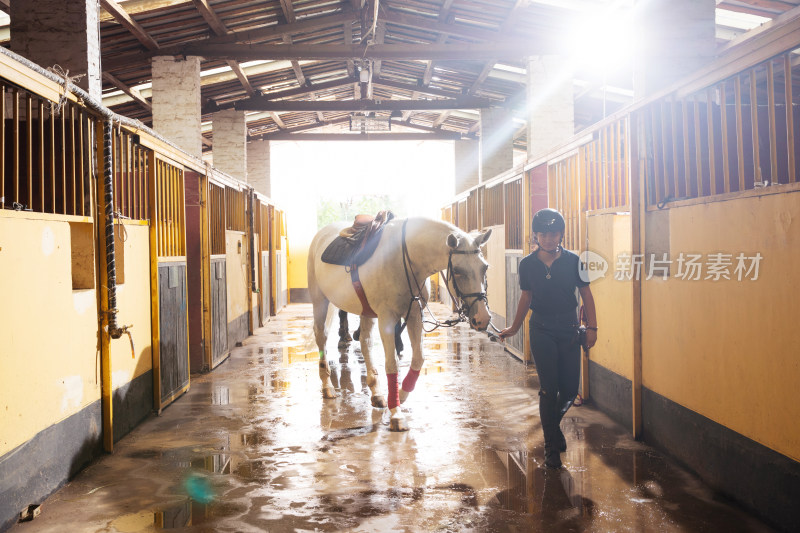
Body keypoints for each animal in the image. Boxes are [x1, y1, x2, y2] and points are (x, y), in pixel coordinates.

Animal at [308, 218, 490, 430]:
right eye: (459, 271)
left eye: (485, 267)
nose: (483, 318)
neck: (406, 259)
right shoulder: (387, 317)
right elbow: (392, 364)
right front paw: (396, 414)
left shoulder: (414, 315)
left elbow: (418, 358)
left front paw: (401, 396)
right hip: (320, 300)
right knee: (322, 336)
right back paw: (328, 387)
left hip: (366, 311)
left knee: (365, 342)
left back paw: (376, 393)